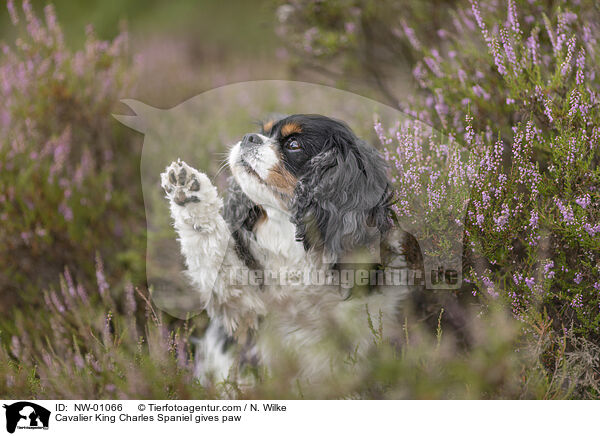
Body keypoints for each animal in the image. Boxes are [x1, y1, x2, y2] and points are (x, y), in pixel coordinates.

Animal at [161, 113, 412, 384]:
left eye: (293, 145)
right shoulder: (243, 307)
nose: (248, 137)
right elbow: (209, 249)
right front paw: (188, 192)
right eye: (264, 132)